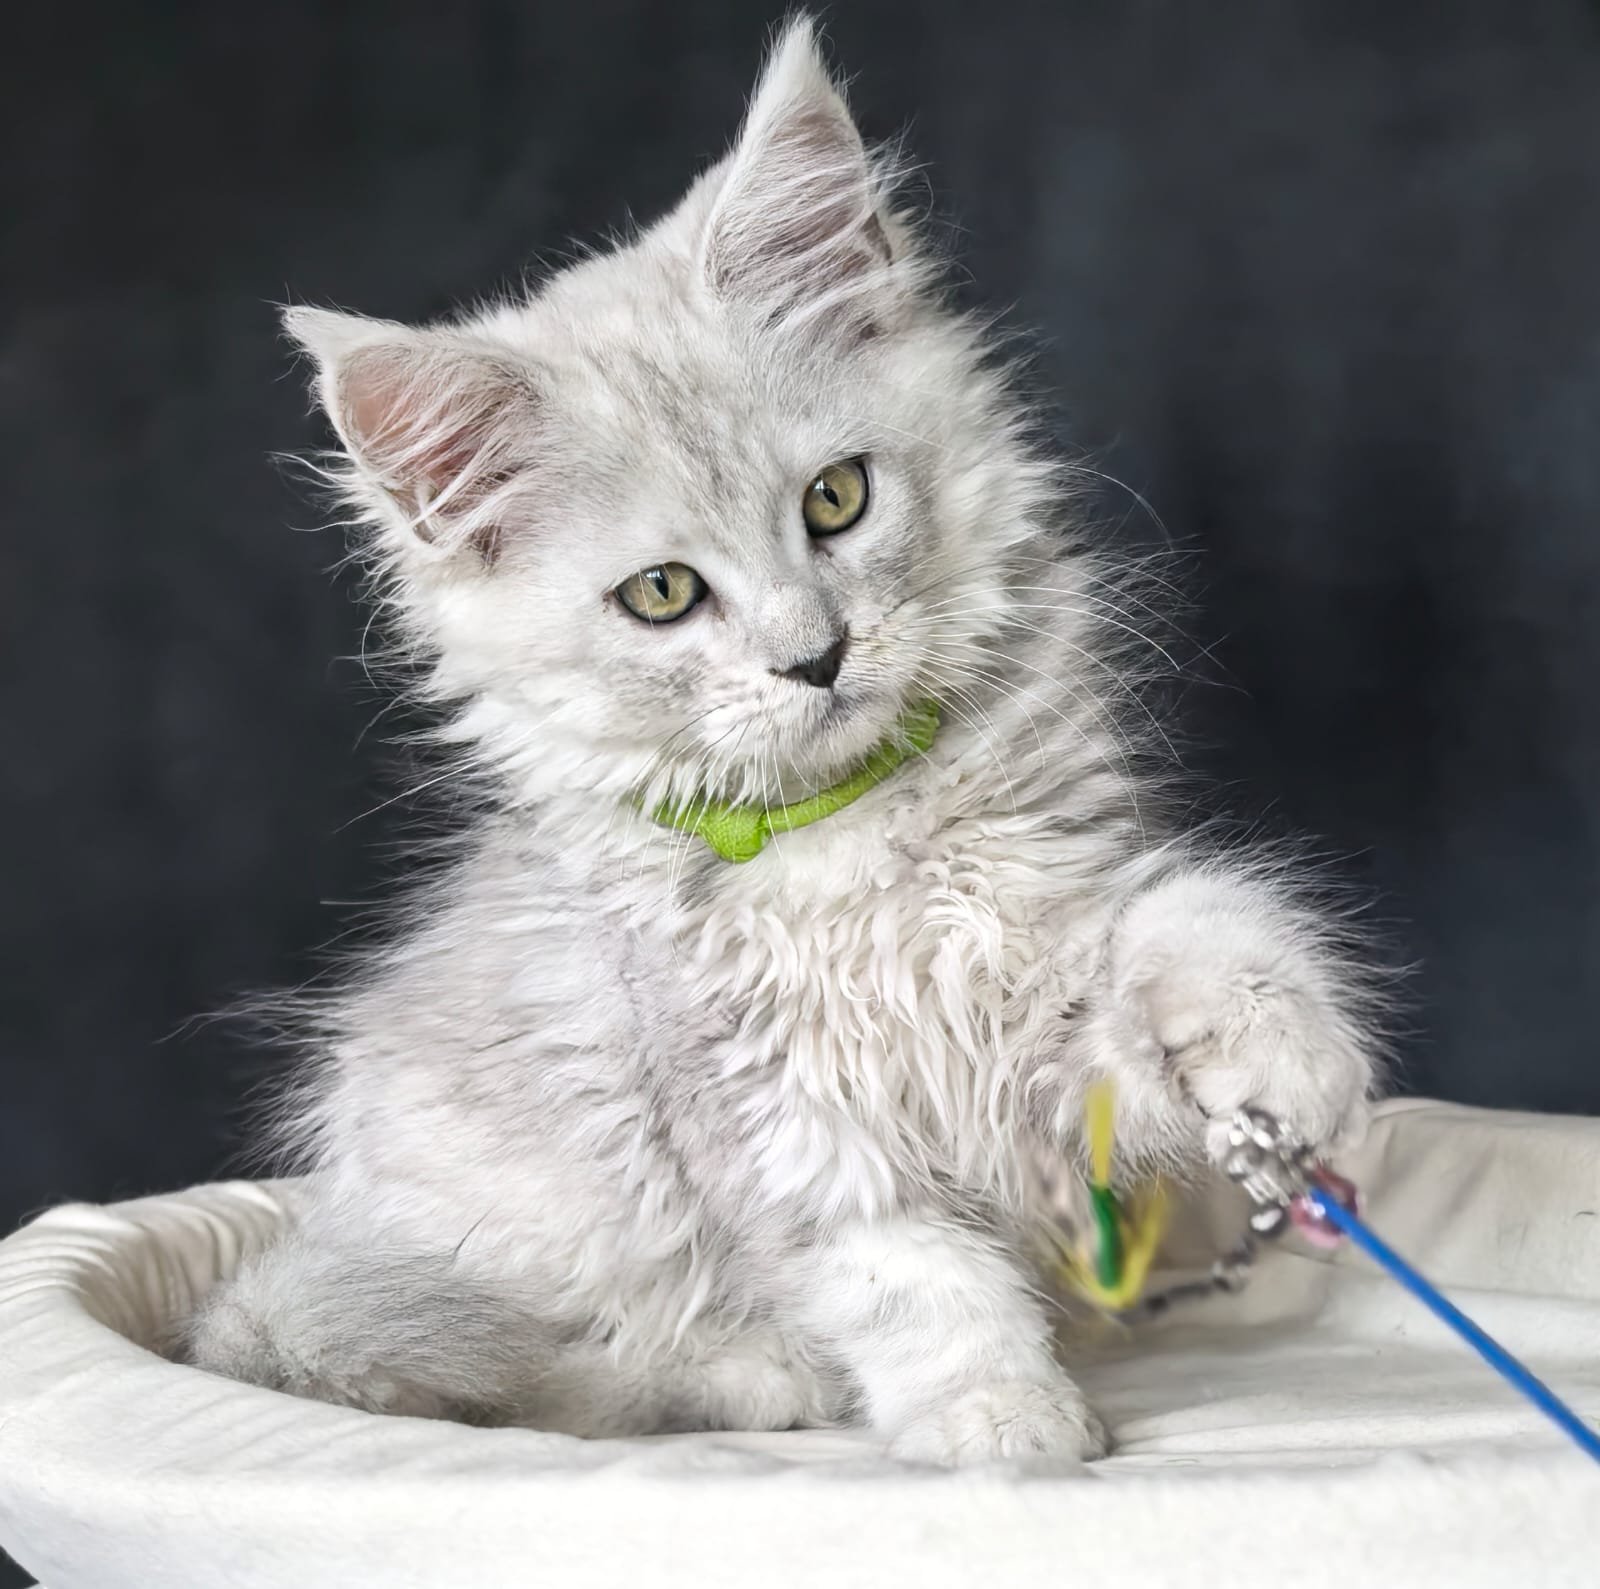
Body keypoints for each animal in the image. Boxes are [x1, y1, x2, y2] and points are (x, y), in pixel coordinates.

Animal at [185, 18, 1380, 1464]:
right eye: (662, 594)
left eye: (836, 499)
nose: (816, 655)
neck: (852, 830)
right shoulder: (769, 1108)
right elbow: (912, 1276)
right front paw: (1001, 1419)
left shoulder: (1050, 988)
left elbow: (1200, 928)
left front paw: (1279, 1054)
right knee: (551, 1369)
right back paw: (760, 1372)